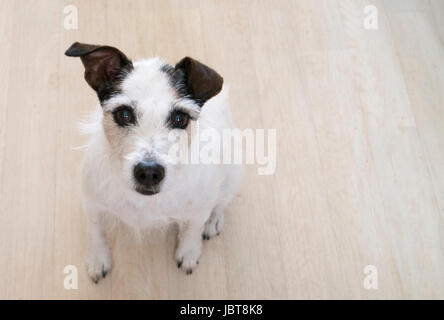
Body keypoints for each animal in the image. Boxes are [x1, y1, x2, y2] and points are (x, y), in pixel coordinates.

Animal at [65, 40, 243, 282]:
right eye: (123, 114)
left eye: (180, 118)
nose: (149, 172)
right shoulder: (93, 203)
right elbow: (95, 230)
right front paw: (97, 258)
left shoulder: (199, 208)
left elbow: (193, 229)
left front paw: (189, 252)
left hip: (232, 173)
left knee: (221, 201)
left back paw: (213, 221)